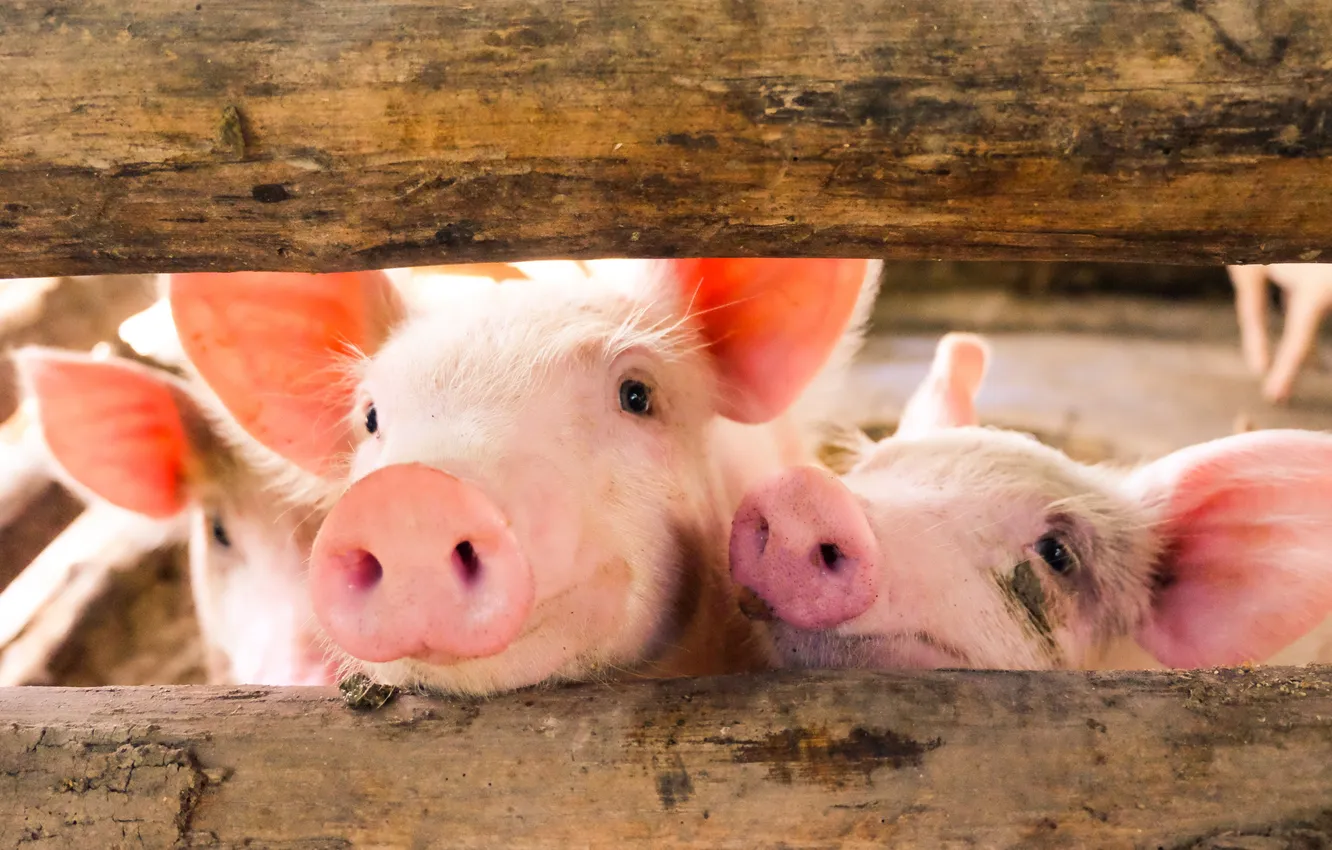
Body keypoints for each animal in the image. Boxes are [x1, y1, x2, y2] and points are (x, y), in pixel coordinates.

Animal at [1227, 263, 1332, 404]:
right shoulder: (1312, 291)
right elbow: (1297, 342)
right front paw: (1274, 398)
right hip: (1250, 272)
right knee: (1251, 305)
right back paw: (1262, 366)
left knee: (1285, 300)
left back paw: (1316, 364)